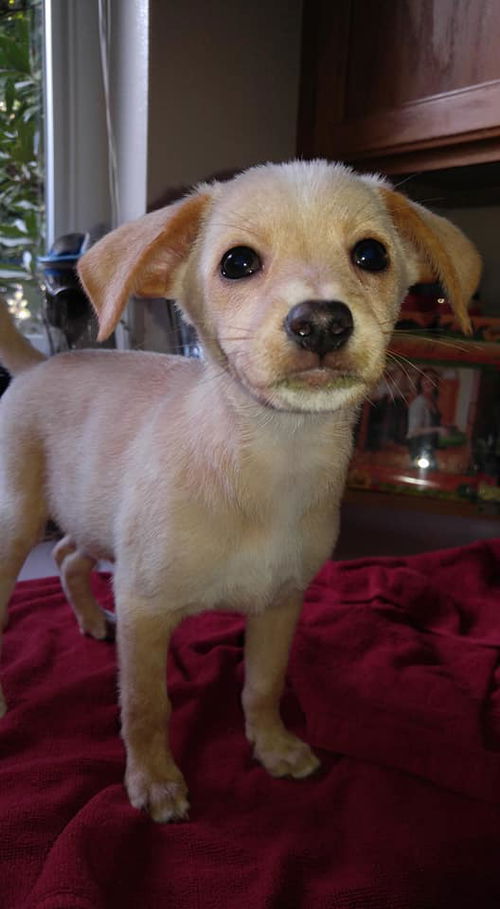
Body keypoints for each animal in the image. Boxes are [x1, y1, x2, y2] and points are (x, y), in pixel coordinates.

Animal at [0, 160, 480, 820]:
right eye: (238, 263)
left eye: (371, 254)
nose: (322, 322)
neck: (273, 460)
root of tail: (38, 364)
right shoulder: (145, 608)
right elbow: (146, 707)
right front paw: (153, 781)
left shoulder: (280, 605)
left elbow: (262, 686)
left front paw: (272, 747)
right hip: (19, 521)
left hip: (91, 515)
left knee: (71, 555)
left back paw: (93, 620)